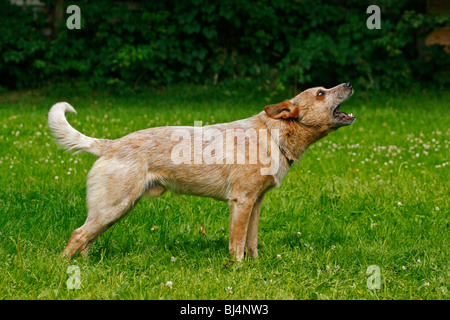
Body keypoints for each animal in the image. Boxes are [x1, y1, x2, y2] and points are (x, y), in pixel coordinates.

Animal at [47, 83, 354, 262]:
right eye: (320, 93)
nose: (349, 83)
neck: (273, 135)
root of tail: (110, 144)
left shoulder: (256, 202)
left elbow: (252, 242)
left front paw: (255, 268)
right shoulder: (241, 202)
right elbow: (237, 244)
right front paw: (238, 272)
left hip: (113, 211)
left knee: (85, 239)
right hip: (113, 207)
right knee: (77, 235)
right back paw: (63, 268)